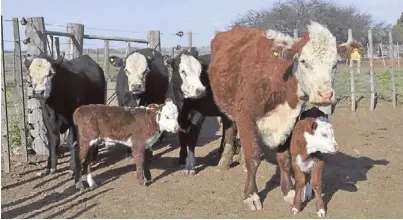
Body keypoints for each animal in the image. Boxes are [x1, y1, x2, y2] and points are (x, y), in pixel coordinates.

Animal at [208, 21, 340, 211]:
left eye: (335, 64)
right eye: (304, 61)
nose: (325, 94)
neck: (274, 77)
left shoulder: (290, 120)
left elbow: (284, 158)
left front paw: (289, 190)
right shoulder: (244, 116)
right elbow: (253, 157)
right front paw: (251, 195)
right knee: (230, 130)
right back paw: (225, 160)